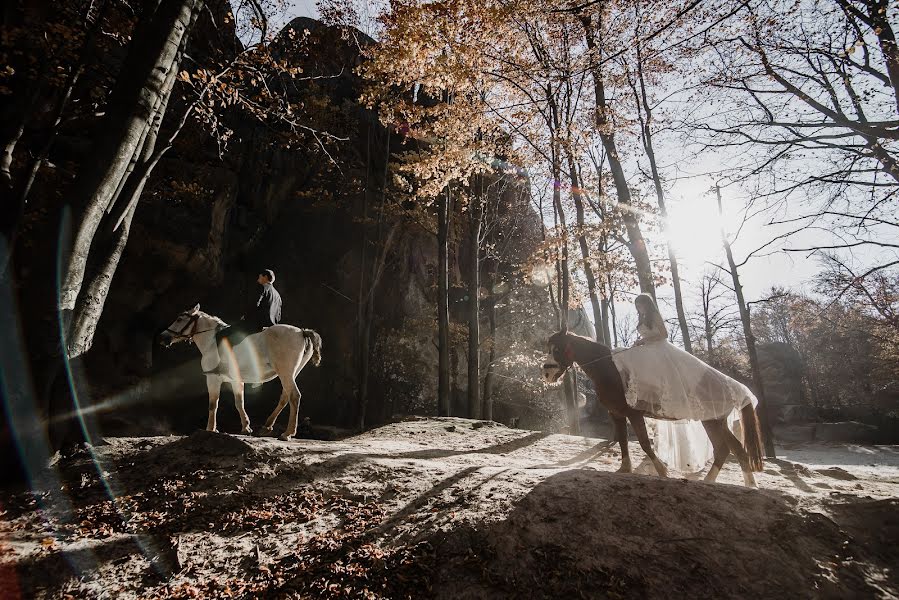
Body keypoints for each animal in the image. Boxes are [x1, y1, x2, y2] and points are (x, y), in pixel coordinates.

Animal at [161, 304, 324, 440]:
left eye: (179, 319)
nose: (163, 337)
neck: (211, 341)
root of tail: (301, 332)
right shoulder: (236, 380)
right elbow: (239, 402)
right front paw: (246, 427)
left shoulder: (213, 378)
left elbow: (213, 404)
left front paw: (210, 429)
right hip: (292, 373)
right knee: (285, 396)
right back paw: (267, 427)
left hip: (285, 372)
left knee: (294, 396)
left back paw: (287, 433)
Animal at [544, 330, 764, 486]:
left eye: (557, 349)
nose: (547, 373)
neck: (610, 369)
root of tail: (737, 388)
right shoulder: (616, 414)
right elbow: (623, 440)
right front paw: (625, 468)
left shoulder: (633, 414)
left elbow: (644, 443)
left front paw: (662, 472)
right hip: (716, 421)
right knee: (735, 449)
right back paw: (747, 484)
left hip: (712, 420)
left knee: (725, 449)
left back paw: (714, 481)